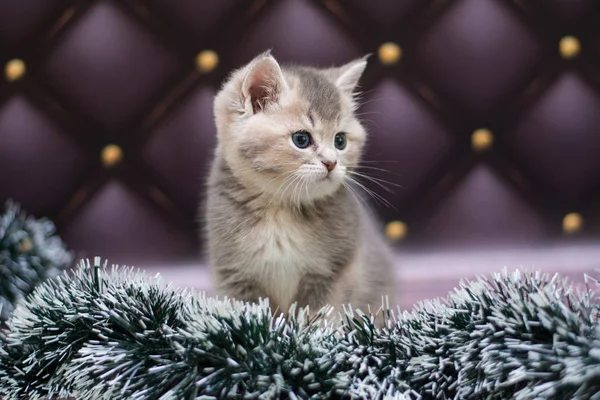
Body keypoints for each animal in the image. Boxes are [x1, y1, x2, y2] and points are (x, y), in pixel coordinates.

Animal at [204, 50, 396, 324]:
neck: (280, 210)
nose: (331, 163)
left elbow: (320, 318)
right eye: (301, 139)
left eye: (340, 141)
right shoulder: (234, 277)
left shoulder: (333, 273)